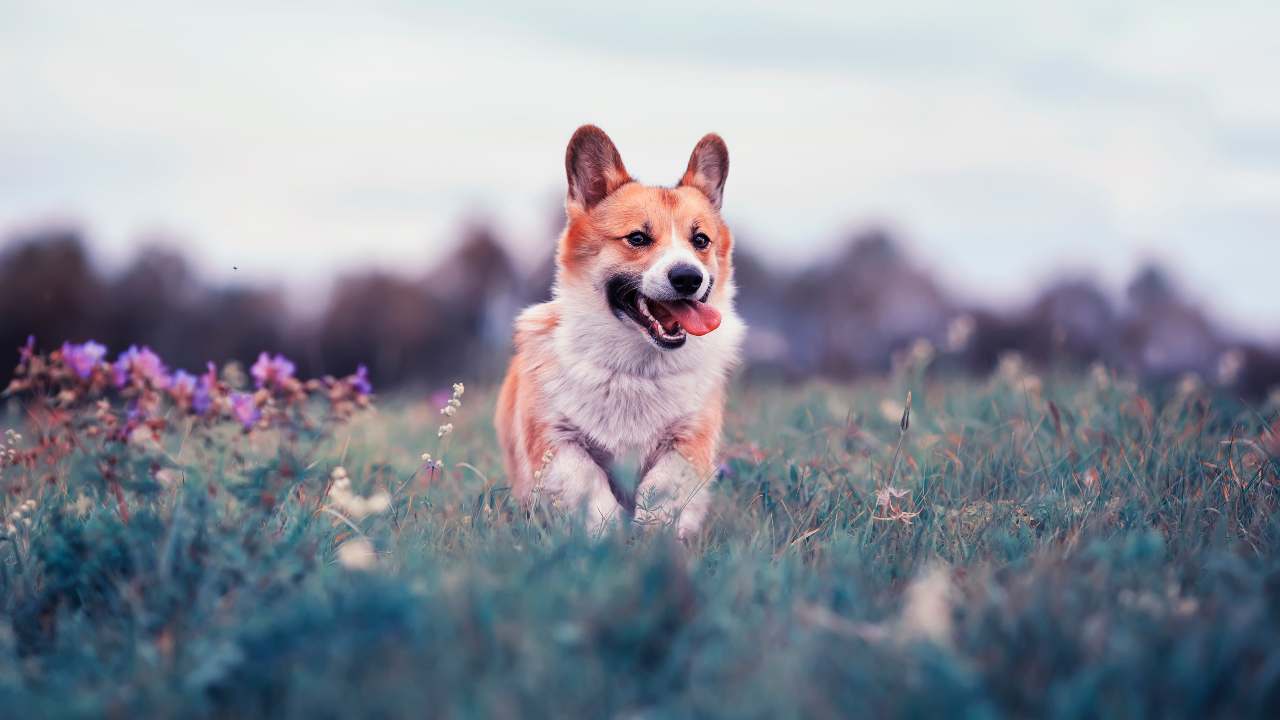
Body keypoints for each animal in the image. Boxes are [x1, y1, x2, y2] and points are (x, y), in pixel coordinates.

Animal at [494, 126, 747, 535]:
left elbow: (663, 487)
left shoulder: (689, 440)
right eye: (638, 238)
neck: (636, 369)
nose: (687, 277)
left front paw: (651, 532)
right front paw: (606, 532)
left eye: (701, 241)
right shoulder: (556, 440)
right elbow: (587, 483)